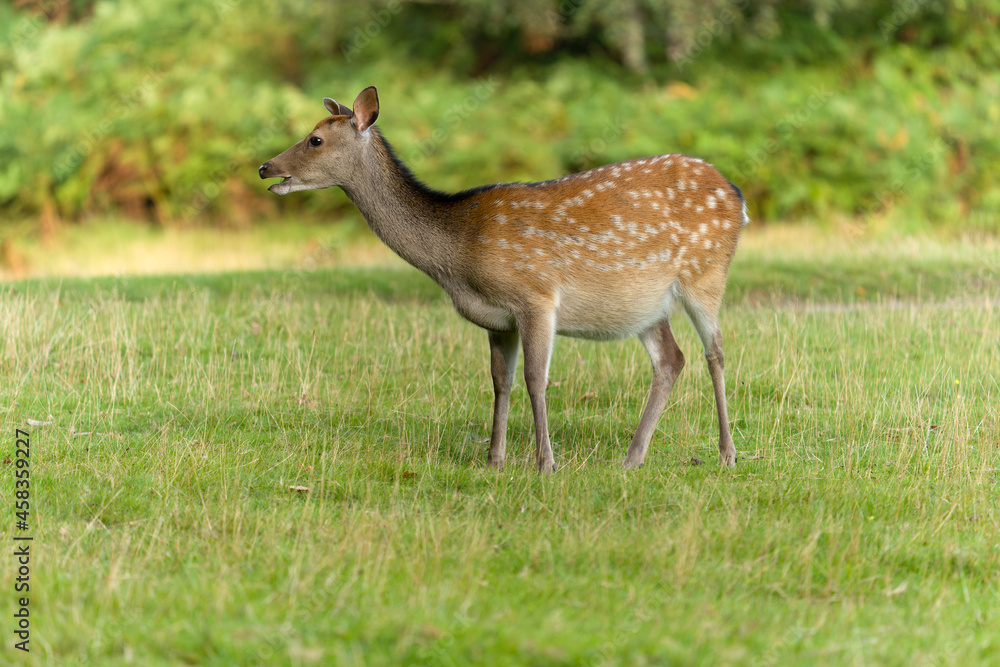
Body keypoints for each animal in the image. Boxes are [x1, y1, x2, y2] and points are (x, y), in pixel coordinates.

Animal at [262, 87, 748, 474]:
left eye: (316, 139)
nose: (266, 167)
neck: (457, 259)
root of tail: (737, 196)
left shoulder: (536, 296)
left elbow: (536, 379)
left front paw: (545, 463)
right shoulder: (497, 318)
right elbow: (501, 381)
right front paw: (494, 460)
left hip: (706, 274)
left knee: (715, 351)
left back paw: (727, 453)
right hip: (645, 305)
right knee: (671, 359)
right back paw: (632, 457)